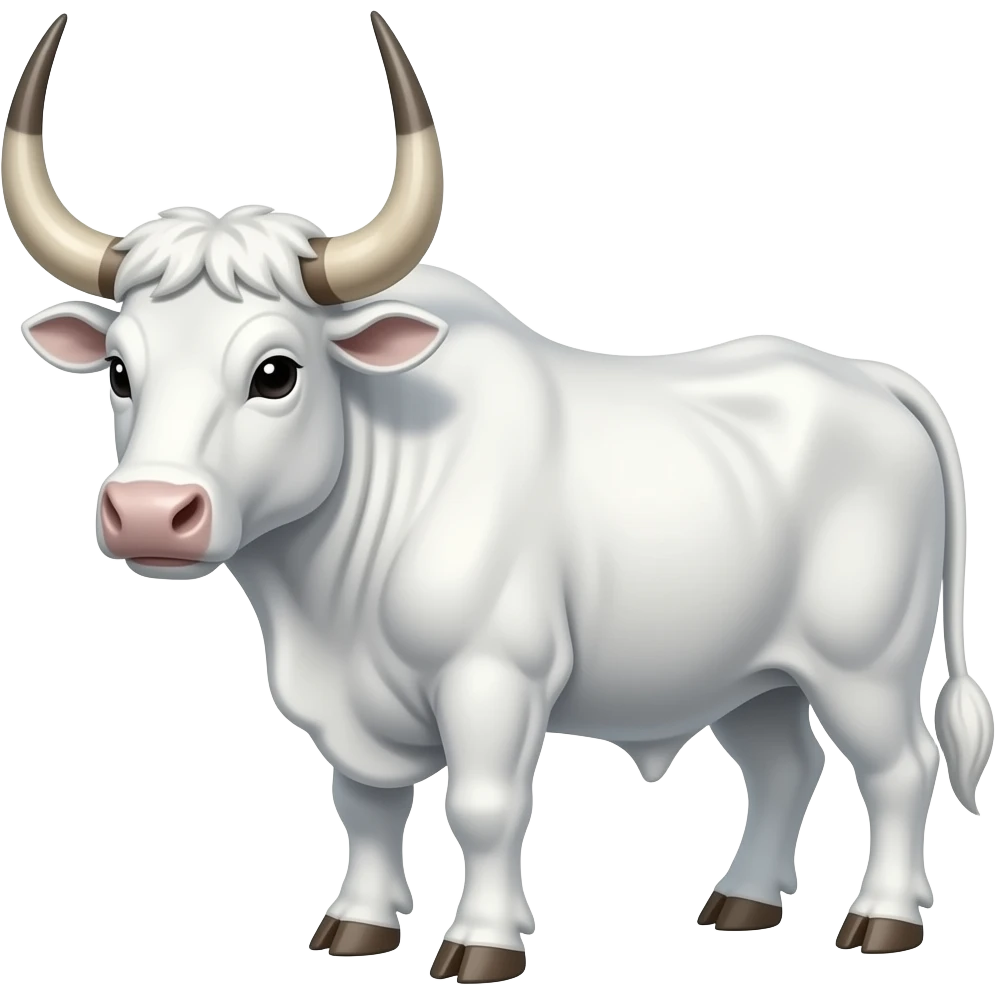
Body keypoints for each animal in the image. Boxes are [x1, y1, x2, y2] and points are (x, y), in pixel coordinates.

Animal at [6, 11, 991, 983]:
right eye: (119, 370)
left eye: (275, 372)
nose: (147, 512)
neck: (327, 596)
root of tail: (867, 378)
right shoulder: (348, 710)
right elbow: (364, 804)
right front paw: (357, 924)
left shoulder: (493, 678)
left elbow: (481, 806)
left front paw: (482, 941)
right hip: (753, 674)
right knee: (788, 764)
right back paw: (742, 902)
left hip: (864, 664)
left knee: (899, 767)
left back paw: (882, 919)